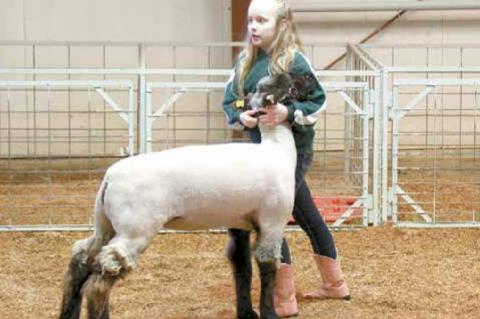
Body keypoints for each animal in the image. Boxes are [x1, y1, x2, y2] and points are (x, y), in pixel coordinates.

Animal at [58, 73, 298, 319]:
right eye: (278, 85)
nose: (294, 80)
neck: (277, 148)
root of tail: (109, 178)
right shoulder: (272, 222)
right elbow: (267, 267)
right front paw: (269, 313)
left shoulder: (239, 223)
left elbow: (242, 267)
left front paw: (247, 313)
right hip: (134, 230)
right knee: (98, 284)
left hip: (105, 226)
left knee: (80, 261)